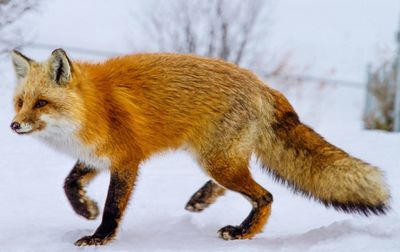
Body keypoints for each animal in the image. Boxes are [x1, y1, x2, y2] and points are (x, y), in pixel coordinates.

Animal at [10, 48, 390, 246]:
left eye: (42, 103)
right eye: (20, 102)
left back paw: (243, 232)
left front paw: (99, 236)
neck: (94, 106)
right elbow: (69, 183)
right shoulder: (96, 156)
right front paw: (84, 208)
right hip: (217, 159)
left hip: (217, 161)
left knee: (265, 196)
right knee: (239, 186)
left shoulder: (126, 160)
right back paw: (203, 199)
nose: (14, 126)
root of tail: (263, 85)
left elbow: (113, 207)